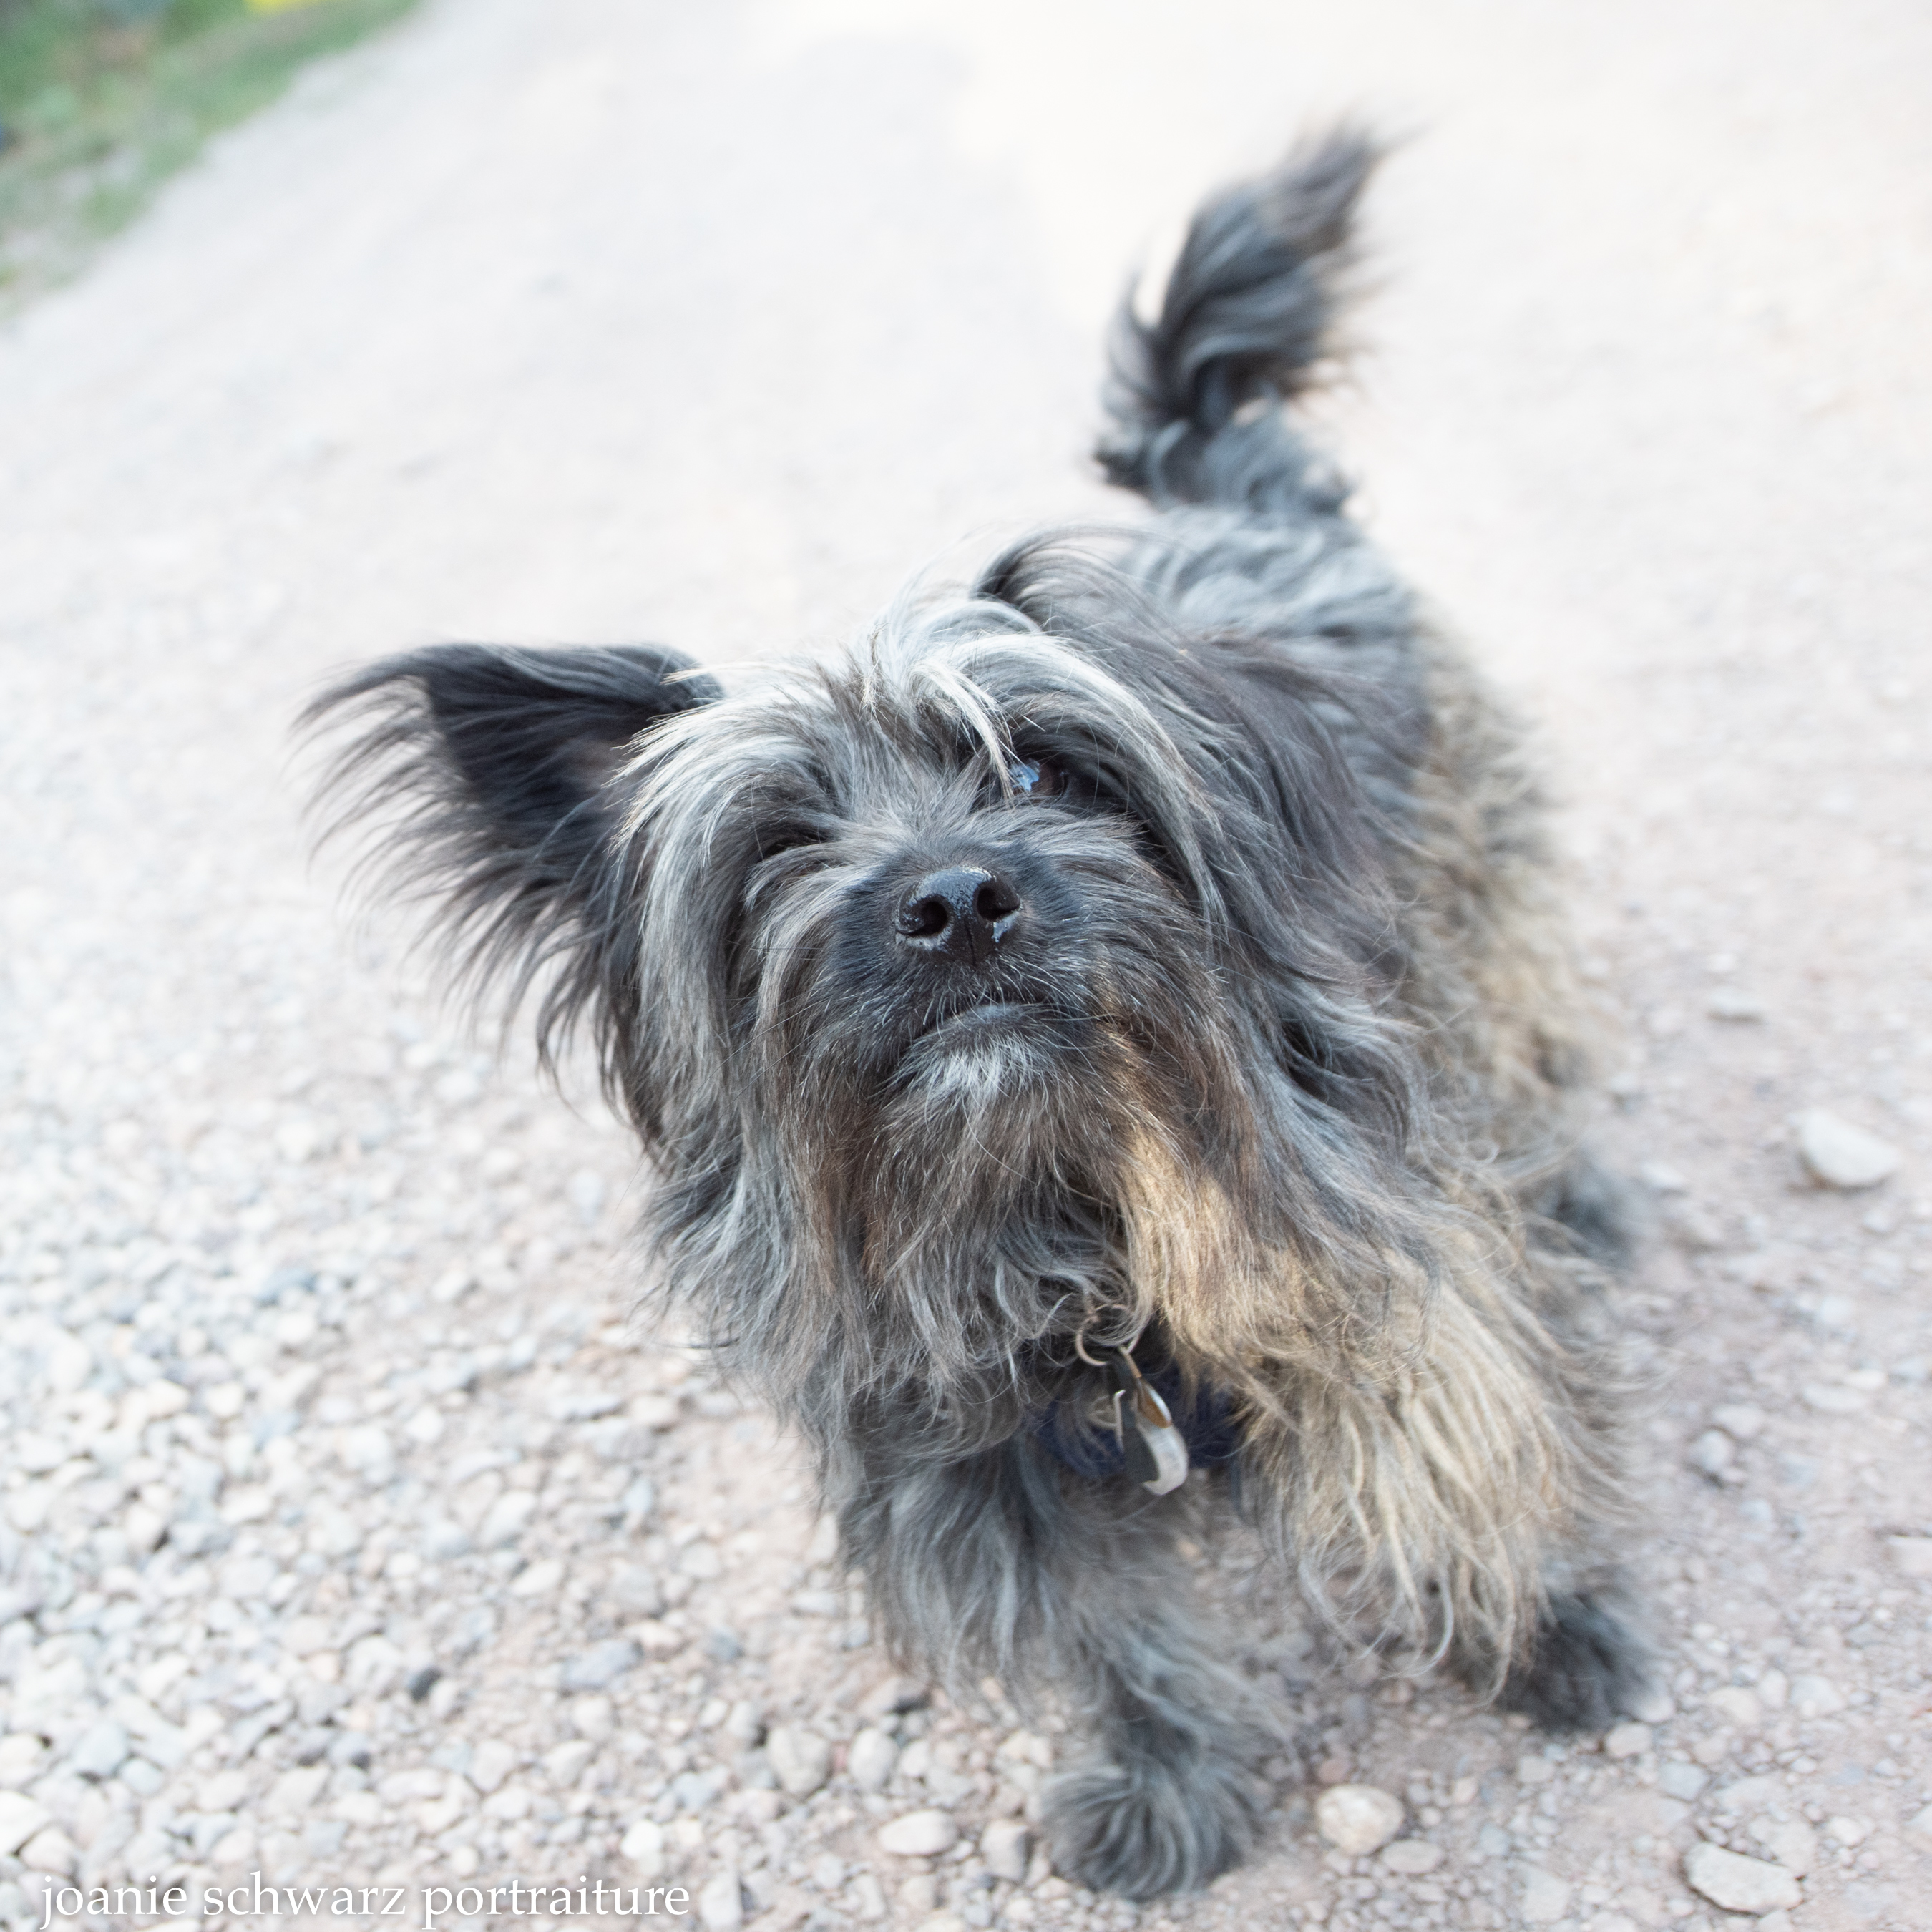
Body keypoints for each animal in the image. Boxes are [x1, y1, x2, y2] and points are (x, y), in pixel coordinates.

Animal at [309, 136, 1654, 1901]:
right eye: (775, 851)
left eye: (1034, 766)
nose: (952, 900)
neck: (1070, 1222)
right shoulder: (967, 1468)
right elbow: (1112, 1638)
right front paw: (1164, 1782)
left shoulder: (1379, 1280)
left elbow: (1466, 1459)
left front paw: (1547, 1635)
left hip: (1472, 873)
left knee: (1522, 1012)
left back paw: (1580, 1184)